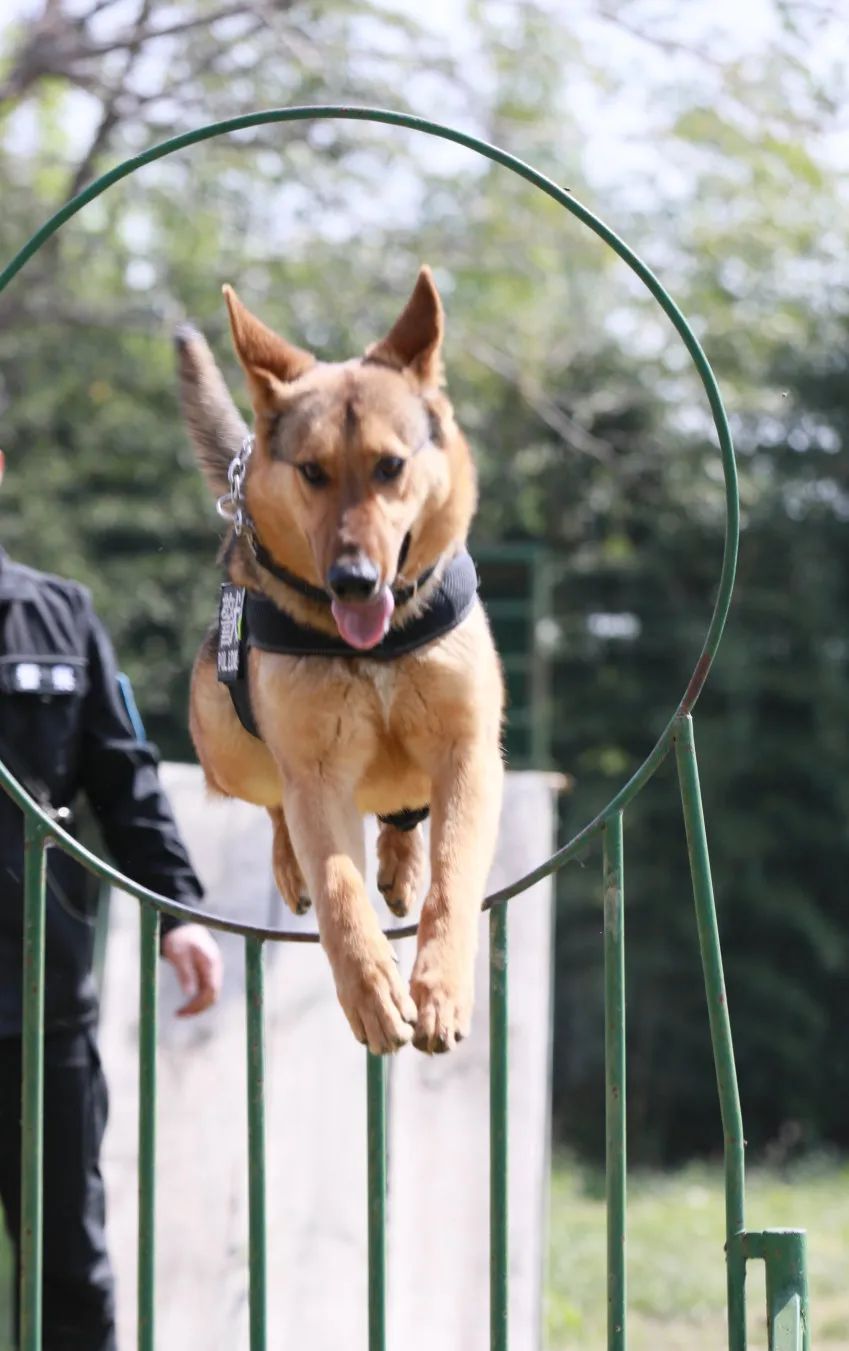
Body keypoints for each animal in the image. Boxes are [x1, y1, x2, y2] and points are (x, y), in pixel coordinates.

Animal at [174, 266, 500, 1053]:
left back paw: (400, 861)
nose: (353, 581)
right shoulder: (317, 774)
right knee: (273, 802)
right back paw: (293, 860)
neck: (376, 647)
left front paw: (440, 986)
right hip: (227, 743)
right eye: (312, 471)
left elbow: (453, 876)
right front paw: (373, 991)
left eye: (390, 466)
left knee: (405, 815)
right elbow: (338, 889)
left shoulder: (469, 756)